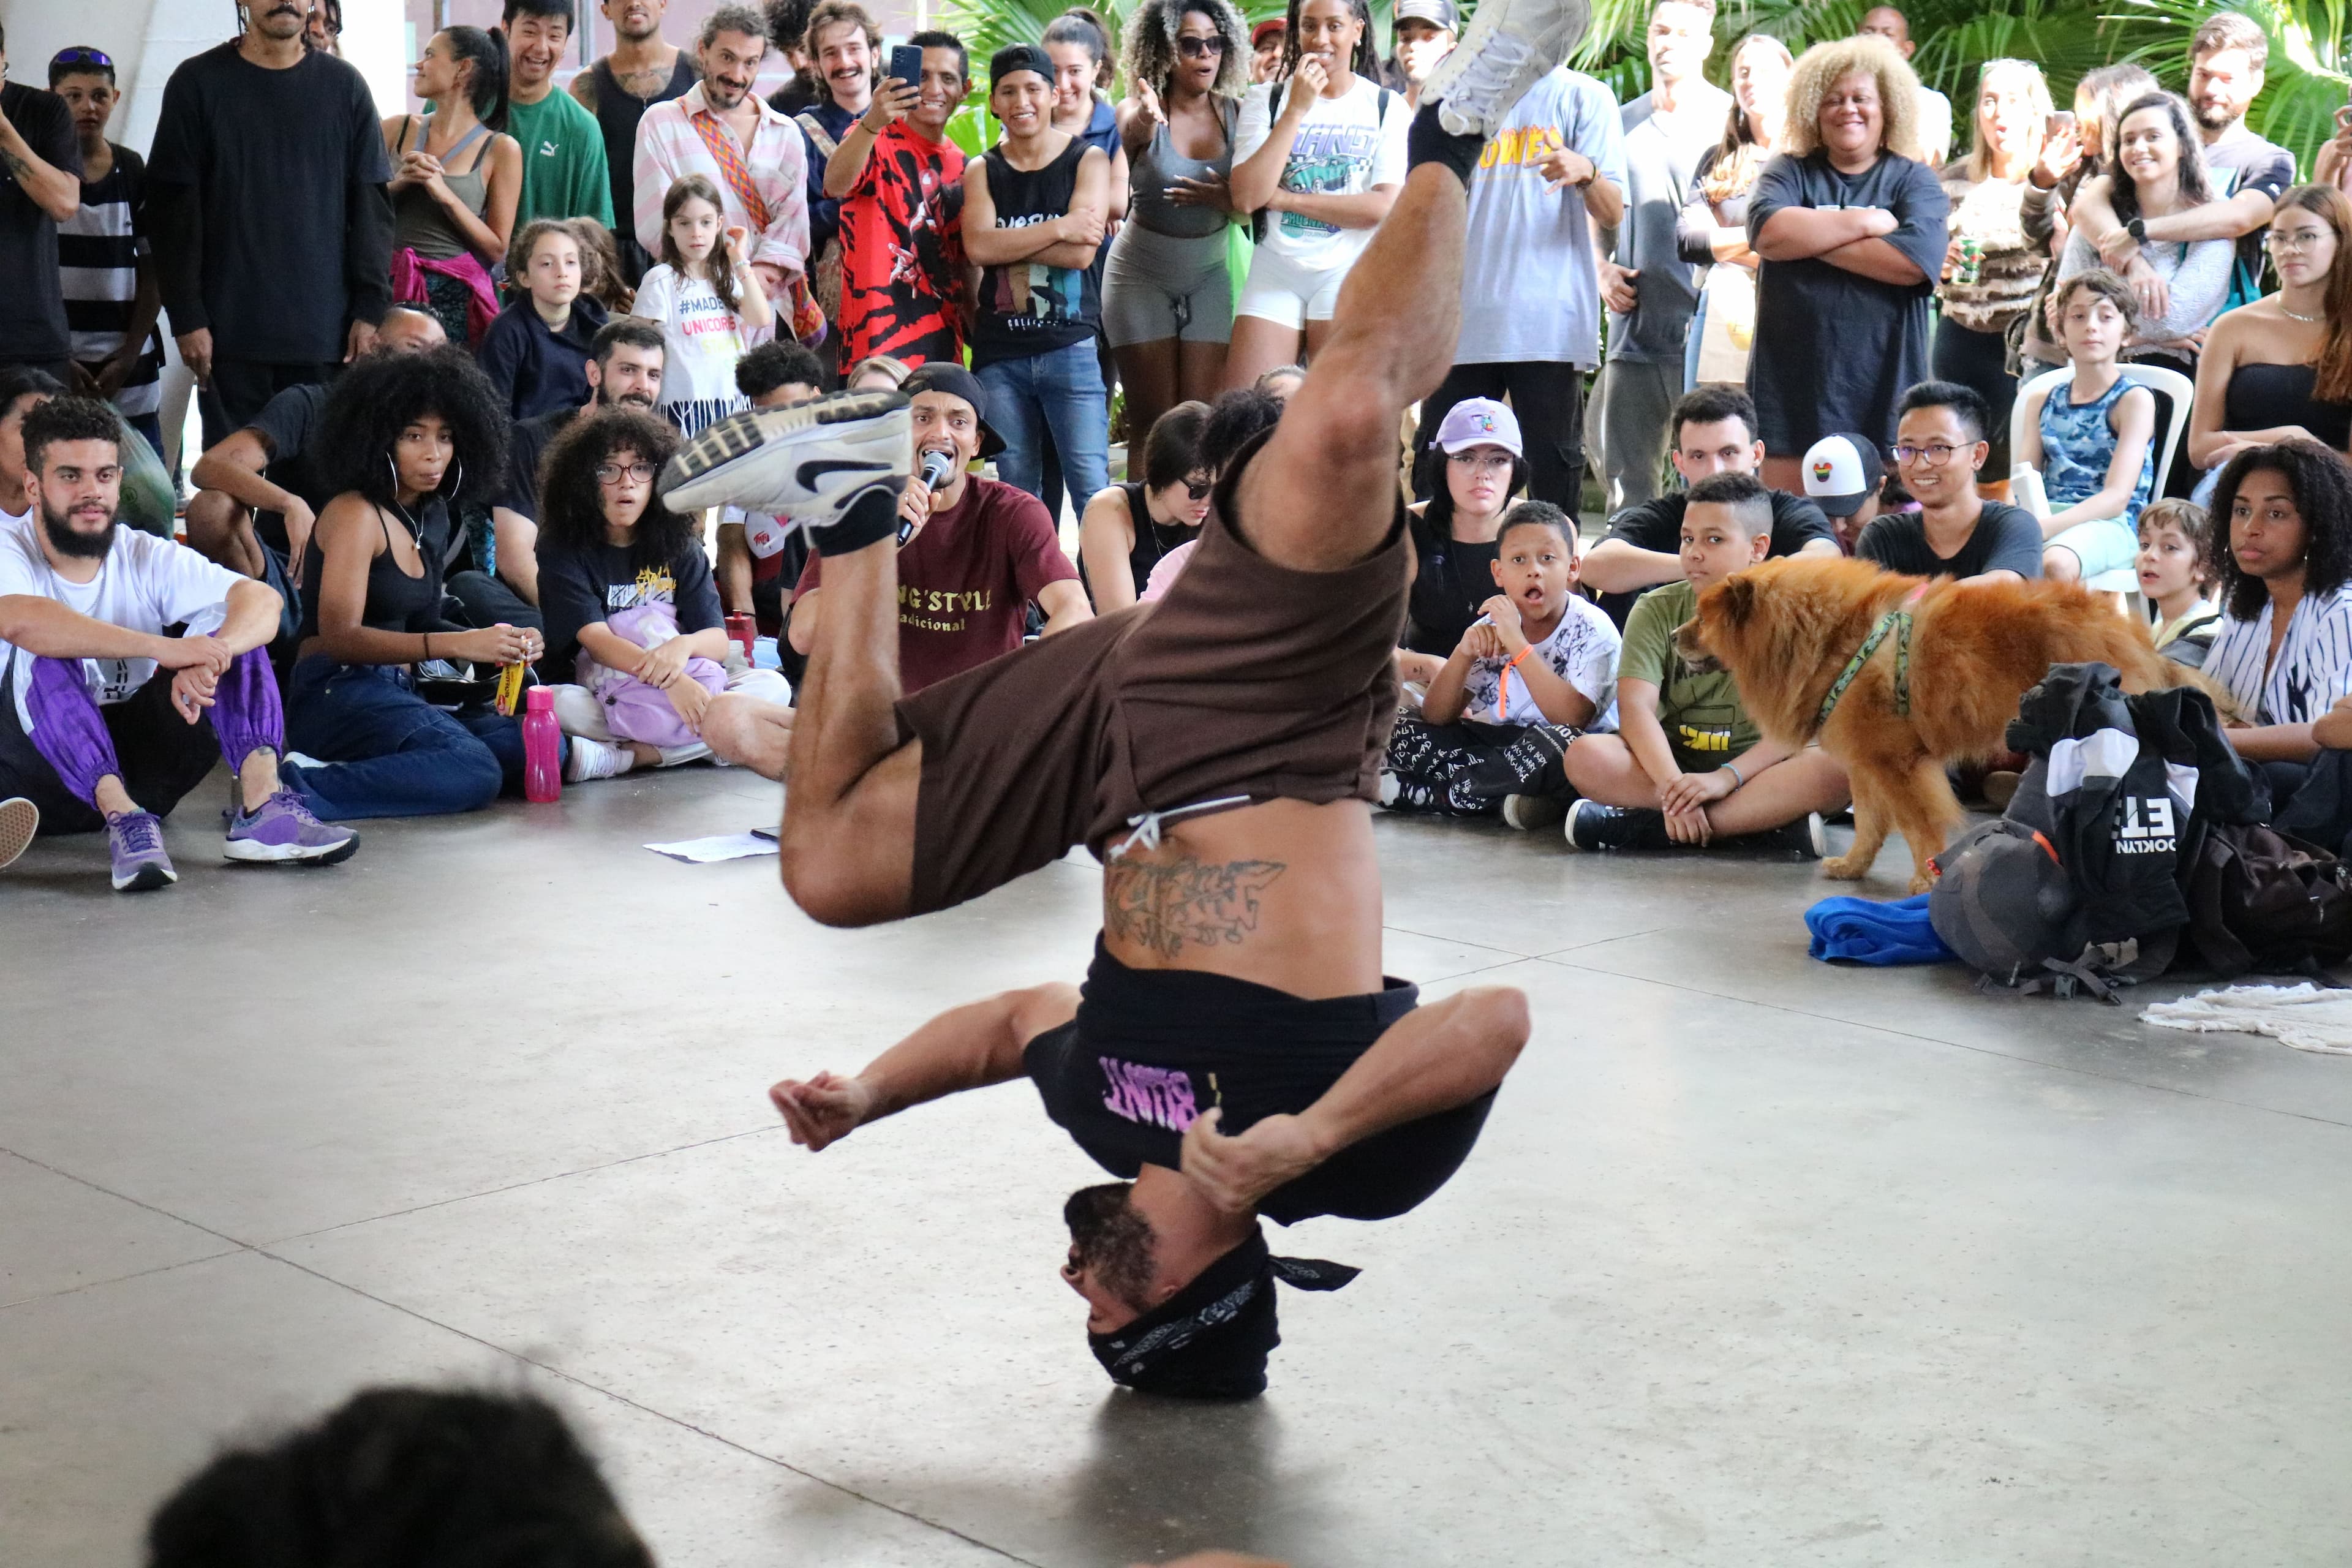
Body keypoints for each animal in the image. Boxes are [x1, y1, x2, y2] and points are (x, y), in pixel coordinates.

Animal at [1684, 562, 2211, 893]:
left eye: (1701, 619)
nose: (1674, 634)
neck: (1832, 639)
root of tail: (2136, 638)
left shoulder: (1898, 764)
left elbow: (1918, 825)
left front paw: (1925, 879)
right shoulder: (1866, 761)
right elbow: (1870, 824)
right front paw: (1852, 867)